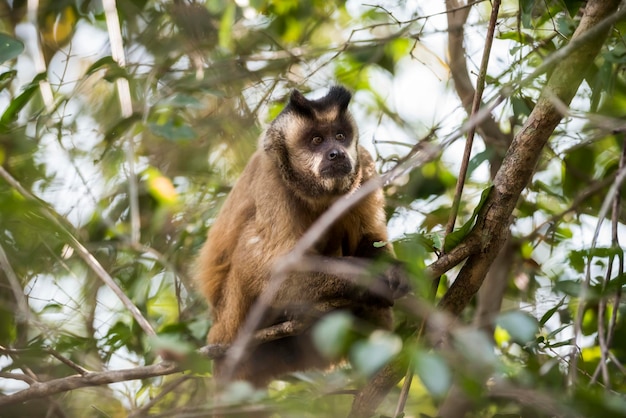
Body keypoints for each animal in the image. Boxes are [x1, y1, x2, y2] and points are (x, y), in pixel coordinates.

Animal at [196, 86, 410, 386]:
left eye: (340, 136)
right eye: (316, 140)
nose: (336, 153)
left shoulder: (364, 164)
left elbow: (370, 237)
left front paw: (392, 271)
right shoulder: (271, 177)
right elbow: (277, 271)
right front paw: (370, 279)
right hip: (228, 324)